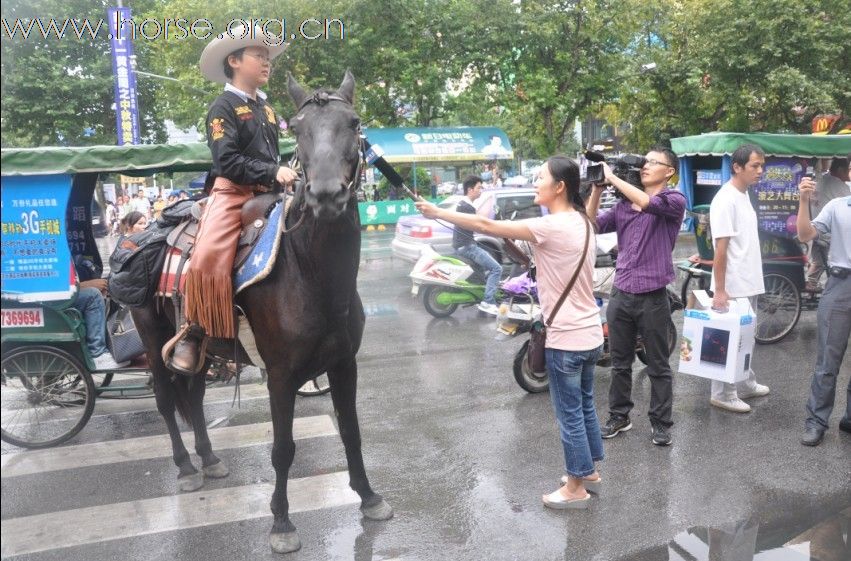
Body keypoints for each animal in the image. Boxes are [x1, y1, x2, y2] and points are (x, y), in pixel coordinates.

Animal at [133, 71, 392, 552]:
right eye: (298, 127)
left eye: (353, 122)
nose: (325, 195)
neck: (311, 275)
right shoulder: (281, 376)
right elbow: (283, 449)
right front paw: (282, 523)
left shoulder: (343, 364)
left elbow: (351, 431)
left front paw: (368, 497)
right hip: (152, 339)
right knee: (164, 399)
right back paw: (186, 467)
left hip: (203, 353)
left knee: (193, 395)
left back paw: (210, 458)